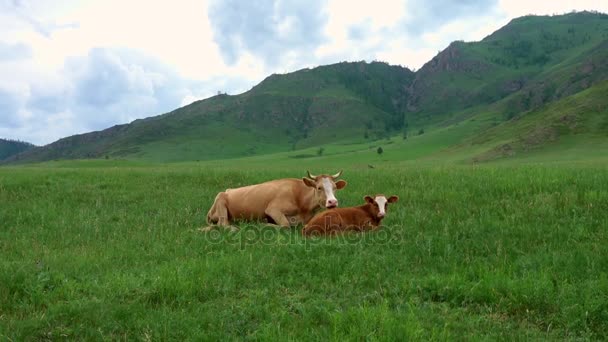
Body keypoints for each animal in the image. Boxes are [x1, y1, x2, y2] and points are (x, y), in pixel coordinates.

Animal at [202, 170, 346, 231]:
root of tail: (227, 190)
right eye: (319, 187)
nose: (332, 202)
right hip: (220, 200)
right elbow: (285, 225)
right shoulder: (273, 209)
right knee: (223, 224)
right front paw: (264, 224)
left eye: (334, 187)